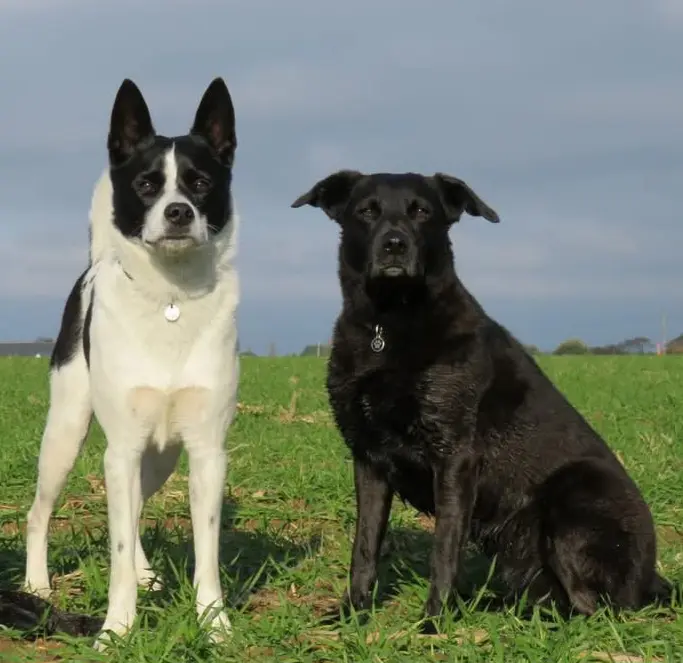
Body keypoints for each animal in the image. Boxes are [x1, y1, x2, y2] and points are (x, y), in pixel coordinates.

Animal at [23, 76, 240, 648]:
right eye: (146, 185)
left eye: (200, 183)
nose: (178, 212)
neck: (170, 297)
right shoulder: (118, 449)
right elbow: (117, 547)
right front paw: (116, 629)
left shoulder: (207, 453)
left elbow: (206, 552)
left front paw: (214, 624)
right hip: (66, 433)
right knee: (38, 513)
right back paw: (36, 586)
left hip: (161, 455)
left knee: (137, 508)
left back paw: (146, 572)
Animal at [290, 170, 672, 632]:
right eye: (367, 211)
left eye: (422, 211)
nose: (395, 244)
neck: (388, 326)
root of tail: (652, 580)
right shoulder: (369, 460)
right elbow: (363, 548)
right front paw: (352, 611)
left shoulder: (455, 458)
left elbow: (444, 552)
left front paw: (433, 622)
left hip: (573, 494)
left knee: (593, 608)